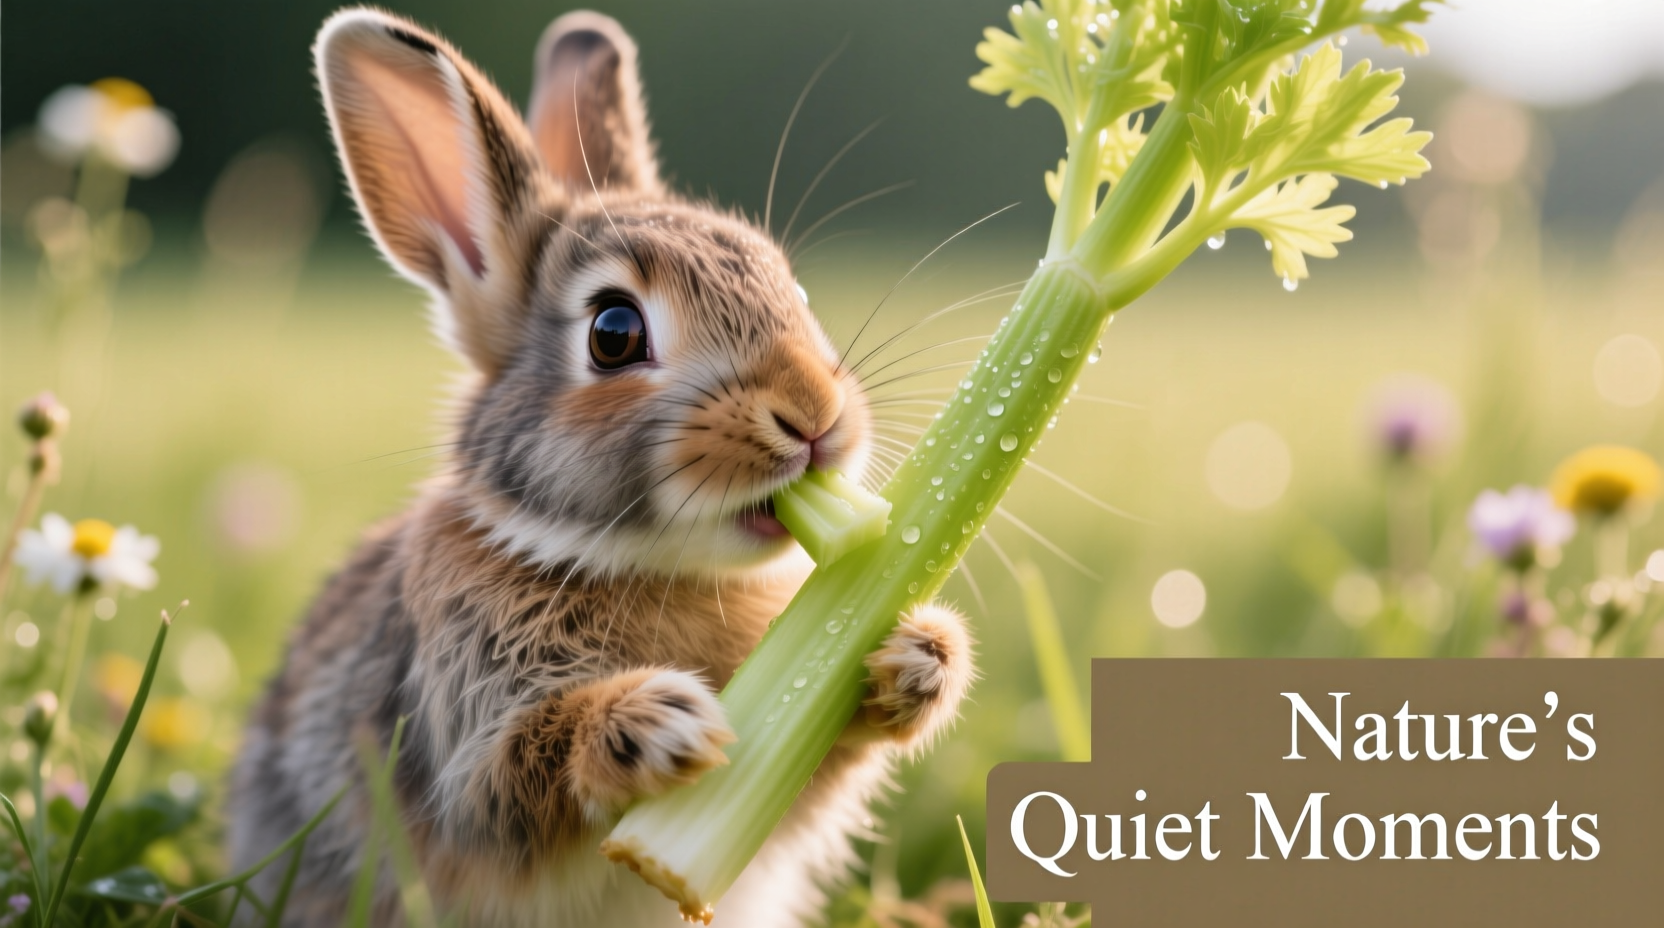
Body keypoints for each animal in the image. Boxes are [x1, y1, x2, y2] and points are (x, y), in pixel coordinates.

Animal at [226, 8, 976, 927]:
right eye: (614, 333)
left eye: (792, 290)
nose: (815, 418)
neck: (645, 567)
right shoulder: (458, 734)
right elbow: (506, 783)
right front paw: (654, 724)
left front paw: (920, 656)